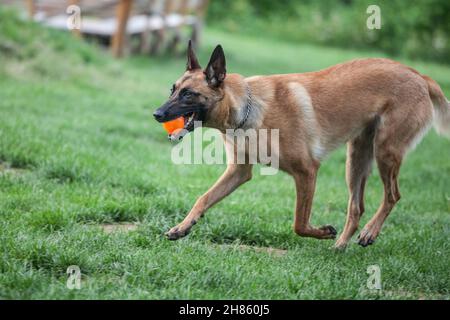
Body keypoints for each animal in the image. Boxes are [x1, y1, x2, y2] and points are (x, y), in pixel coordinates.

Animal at [154, 41, 450, 249]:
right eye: (172, 90)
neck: (248, 109)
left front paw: (322, 232)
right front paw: (182, 226)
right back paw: (341, 245)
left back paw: (368, 232)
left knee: (392, 195)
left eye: (188, 94)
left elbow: (298, 223)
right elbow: (203, 198)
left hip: (385, 151)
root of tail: (420, 76)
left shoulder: (307, 171)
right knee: (357, 208)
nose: (157, 114)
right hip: (356, 158)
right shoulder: (238, 172)